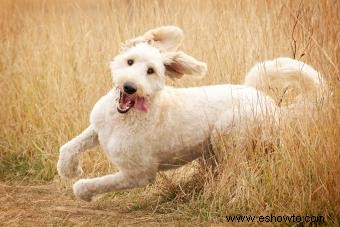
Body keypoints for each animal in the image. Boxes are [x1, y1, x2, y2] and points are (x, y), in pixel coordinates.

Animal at [57, 25, 326, 201]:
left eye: (151, 71)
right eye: (130, 62)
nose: (130, 87)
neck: (124, 118)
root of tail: (267, 101)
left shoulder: (139, 174)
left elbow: (98, 183)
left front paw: (82, 190)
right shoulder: (98, 127)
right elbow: (69, 146)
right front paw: (68, 169)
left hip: (227, 136)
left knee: (236, 172)